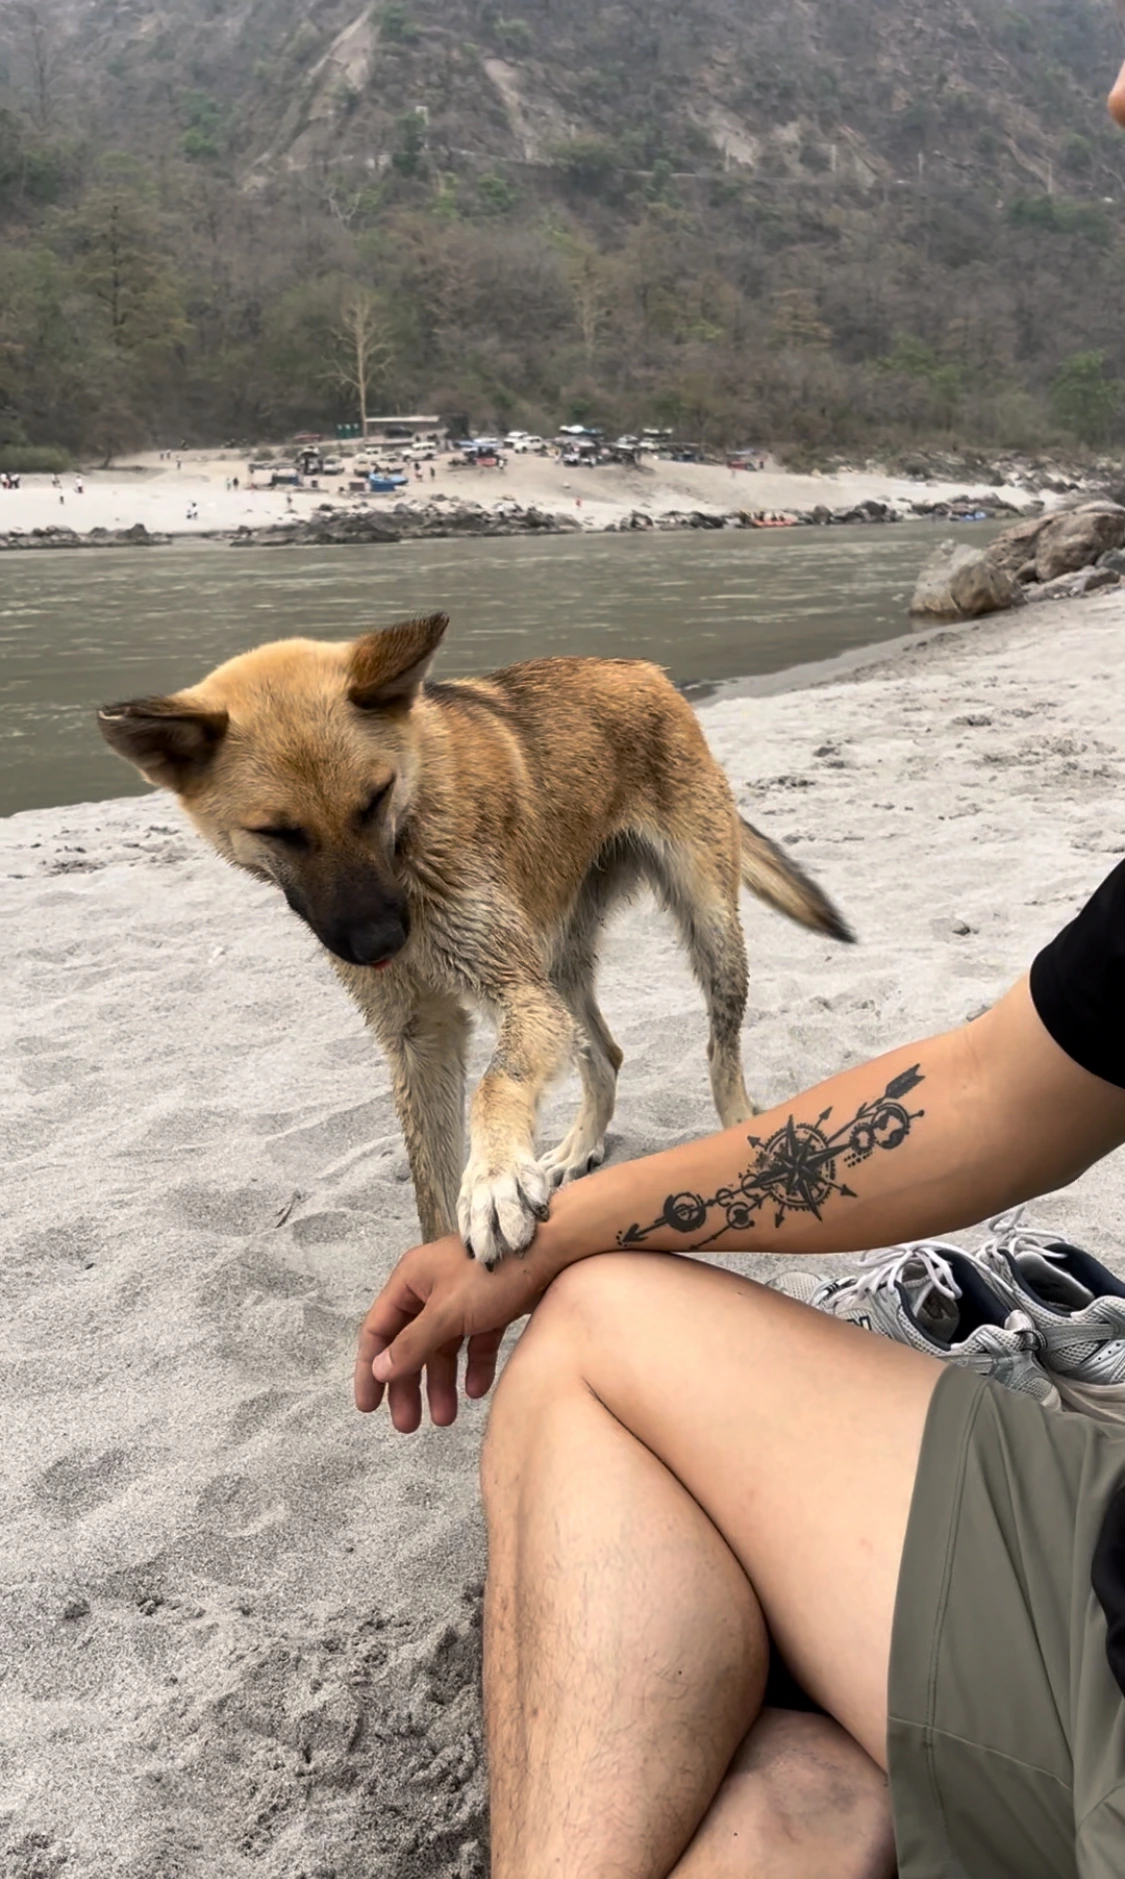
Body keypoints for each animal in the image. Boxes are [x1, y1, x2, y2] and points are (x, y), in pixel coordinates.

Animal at [98, 612, 853, 1266]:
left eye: (375, 798)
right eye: (279, 832)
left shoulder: (516, 993)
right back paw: (579, 1144)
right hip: (559, 961)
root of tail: (646, 670)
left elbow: (496, 1083)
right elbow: (429, 1179)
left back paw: (738, 1135)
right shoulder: (419, 1035)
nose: (380, 941)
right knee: (604, 1053)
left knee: (720, 1053)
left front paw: (493, 1180)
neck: (414, 828)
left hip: (705, 930)